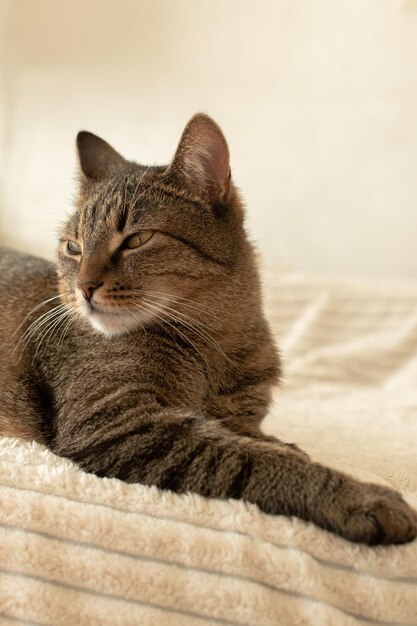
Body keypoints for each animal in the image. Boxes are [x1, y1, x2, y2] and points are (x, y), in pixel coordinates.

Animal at [0, 114, 416, 544]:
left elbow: (264, 442)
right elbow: (252, 459)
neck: (220, 346)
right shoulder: (115, 421)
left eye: (137, 239)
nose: (83, 287)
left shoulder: (234, 419)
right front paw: (359, 497)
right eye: (74, 247)